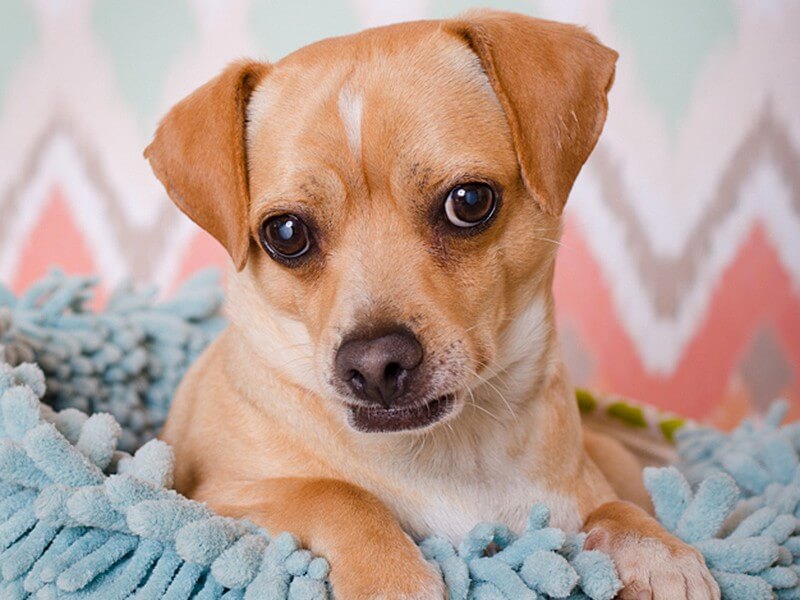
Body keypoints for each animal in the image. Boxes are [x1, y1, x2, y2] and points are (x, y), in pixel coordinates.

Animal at [147, 9, 720, 600]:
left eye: (469, 201)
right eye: (285, 233)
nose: (375, 364)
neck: (449, 449)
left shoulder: (573, 496)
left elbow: (612, 508)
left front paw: (656, 550)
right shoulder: (212, 499)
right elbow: (334, 493)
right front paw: (390, 579)